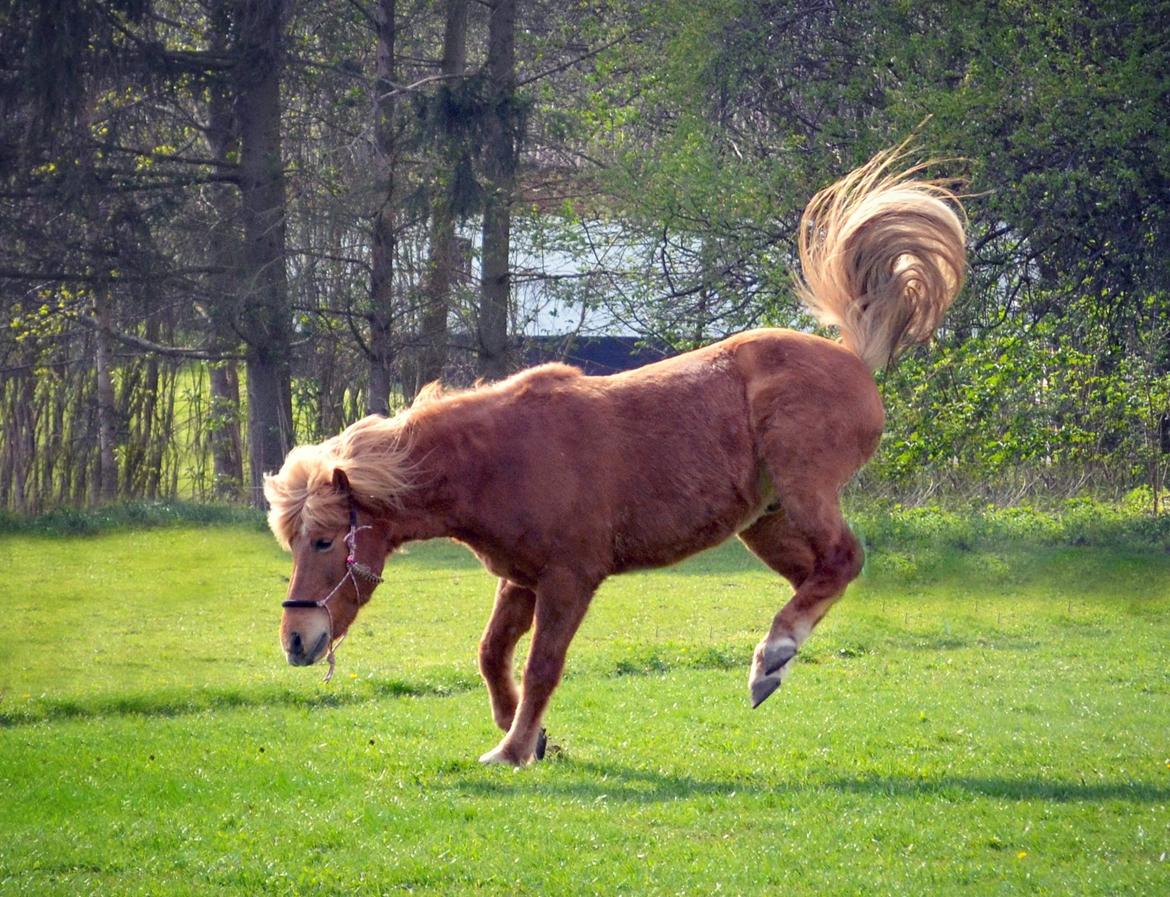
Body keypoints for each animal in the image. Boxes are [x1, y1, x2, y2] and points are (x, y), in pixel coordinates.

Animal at [267, 147, 968, 767]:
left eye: (324, 541)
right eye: (294, 542)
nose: (297, 642)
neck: (499, 458)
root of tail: (852, 356)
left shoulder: (569, 580)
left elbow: (542, 666)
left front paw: (514, 749)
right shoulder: (521, 578)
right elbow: (492, 654)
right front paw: (529, 737)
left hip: (804, 492)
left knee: (843, 560)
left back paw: (772, 653)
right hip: (765, 523)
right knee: (820, 575)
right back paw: (774, 661)